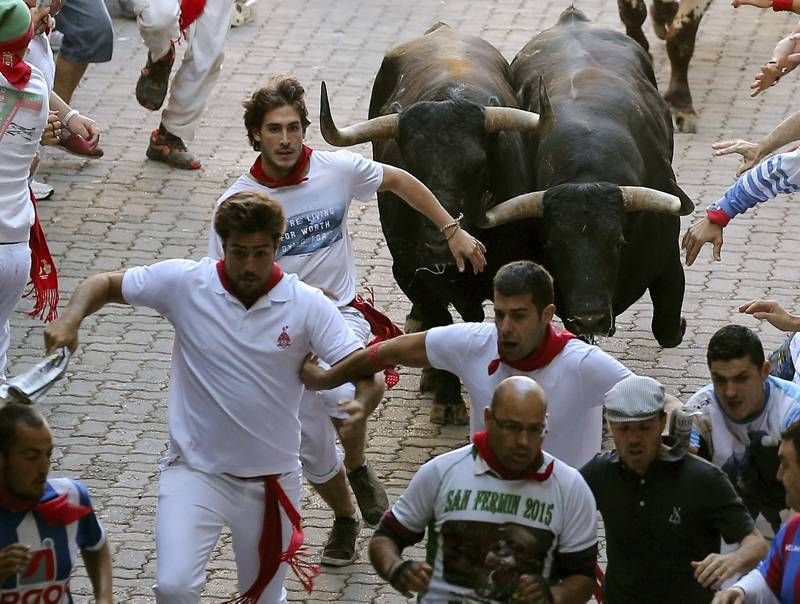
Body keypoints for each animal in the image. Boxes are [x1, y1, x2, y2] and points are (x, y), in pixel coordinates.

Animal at [322, 22, 540, 420]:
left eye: (478, 166)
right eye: (409, 167)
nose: (440, 245)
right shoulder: (408, 271)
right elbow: (441, 321)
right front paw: (449, 398)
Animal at [484, 7, 696, 350]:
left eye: (617, 241)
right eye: (554, 244)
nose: (590, 318)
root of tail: (573, 19)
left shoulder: (668, 263)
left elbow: (665, 328)